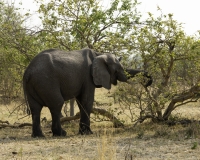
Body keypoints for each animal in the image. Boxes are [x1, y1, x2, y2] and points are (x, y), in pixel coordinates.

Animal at [23, 48, 152, 137]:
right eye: (117, 70)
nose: (148, 83)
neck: (98, 54)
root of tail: (27, 72)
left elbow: (81, 101)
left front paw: (84, 132)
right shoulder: (88, 77)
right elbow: (87, 101)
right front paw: (88, 133)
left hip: (35, 84)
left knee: (35, 108)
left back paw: (38, 136)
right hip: (46, 82)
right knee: (57, 104)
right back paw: (61, 134)